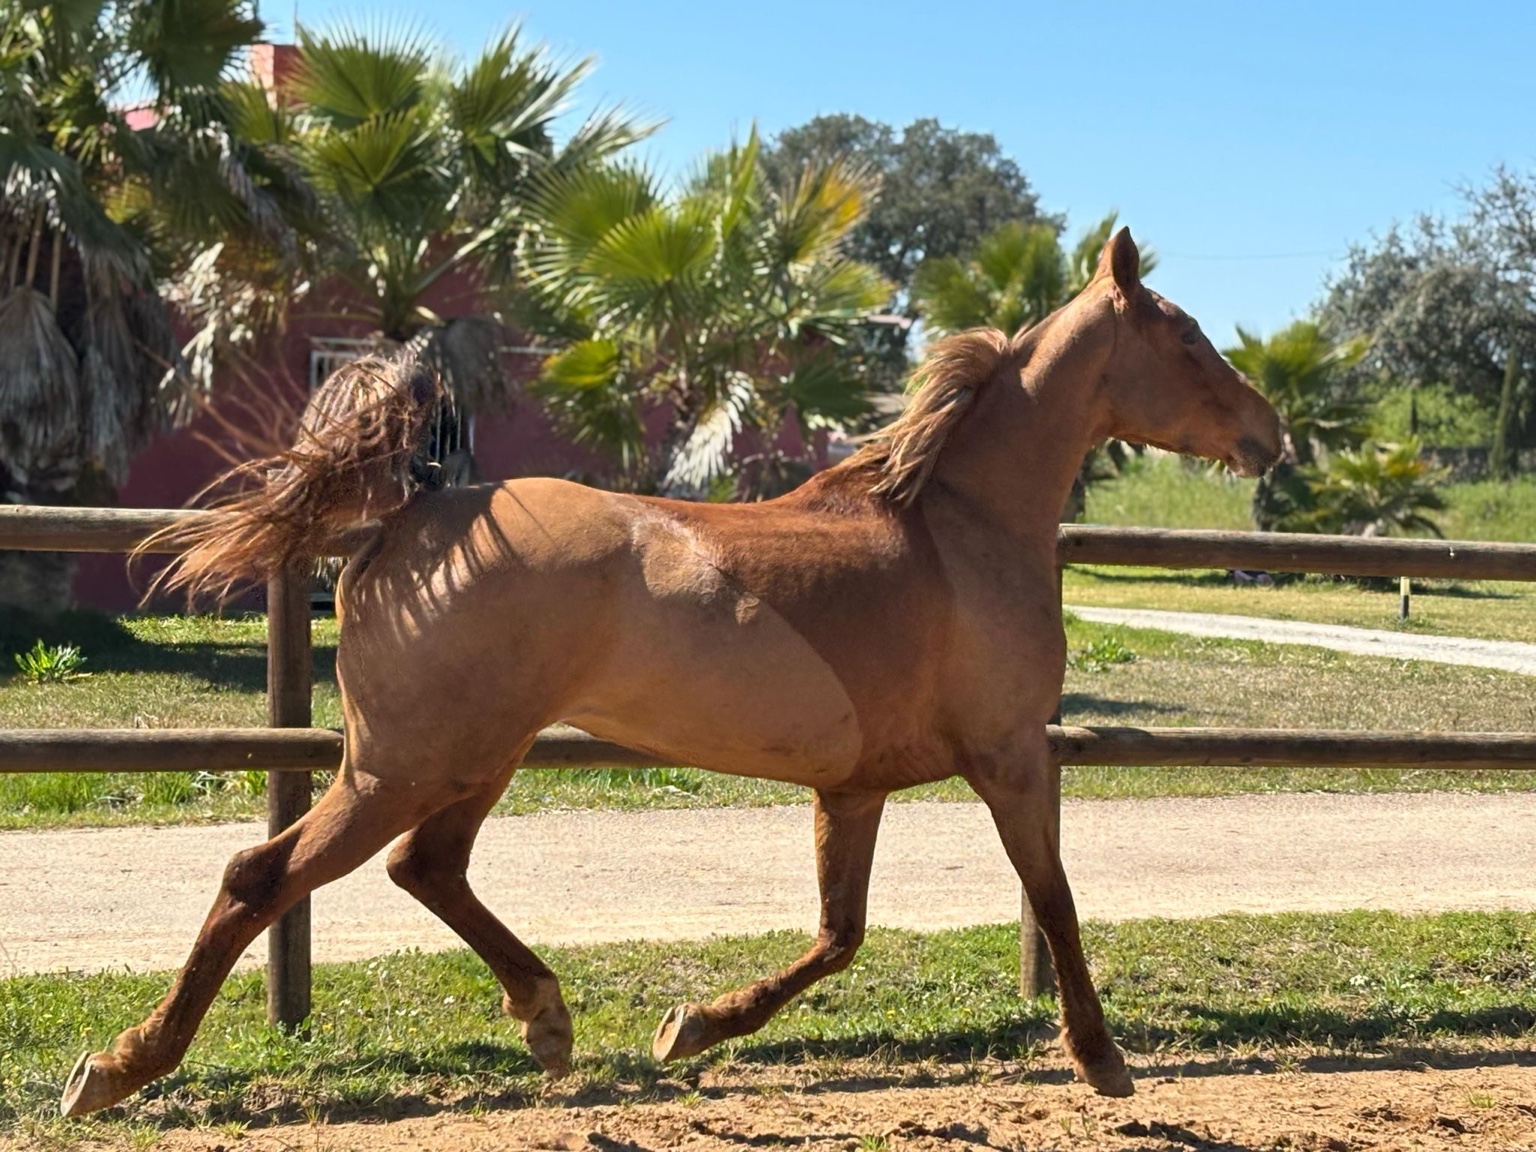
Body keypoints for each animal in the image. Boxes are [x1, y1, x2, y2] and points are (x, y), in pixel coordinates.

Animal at [61, 229, 1281, 1117]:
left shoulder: (857, 788)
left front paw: (688, 1029)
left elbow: (839, 937)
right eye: (1186, 337)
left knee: (428, 869)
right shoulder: (1012, 756)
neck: (959, 530)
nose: (1272, 433)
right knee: (262, 876)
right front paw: (1105, 1061)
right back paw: (115, 1071)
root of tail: (412, 511)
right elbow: (1054, 899)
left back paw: (549, 1022)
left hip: (473, 757)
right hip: (403, 765)